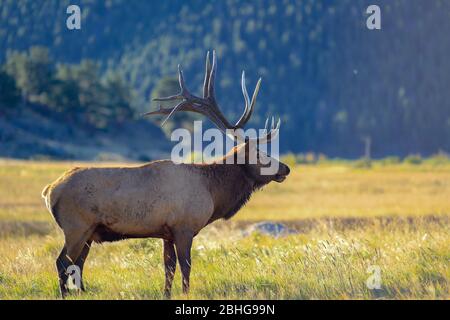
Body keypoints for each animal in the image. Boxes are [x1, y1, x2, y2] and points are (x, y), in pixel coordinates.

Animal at [40, 51, 290, 298]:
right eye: (260, 153)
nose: (286, 168)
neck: (212, 191)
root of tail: (50, 190)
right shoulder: (184, 227)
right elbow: (186, 267)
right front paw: (186, 293)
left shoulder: (166, 233)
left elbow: (168, 269)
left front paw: (167, 293)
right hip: (76, 226)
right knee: (62, 263)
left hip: (89, 233)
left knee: (78, 265)